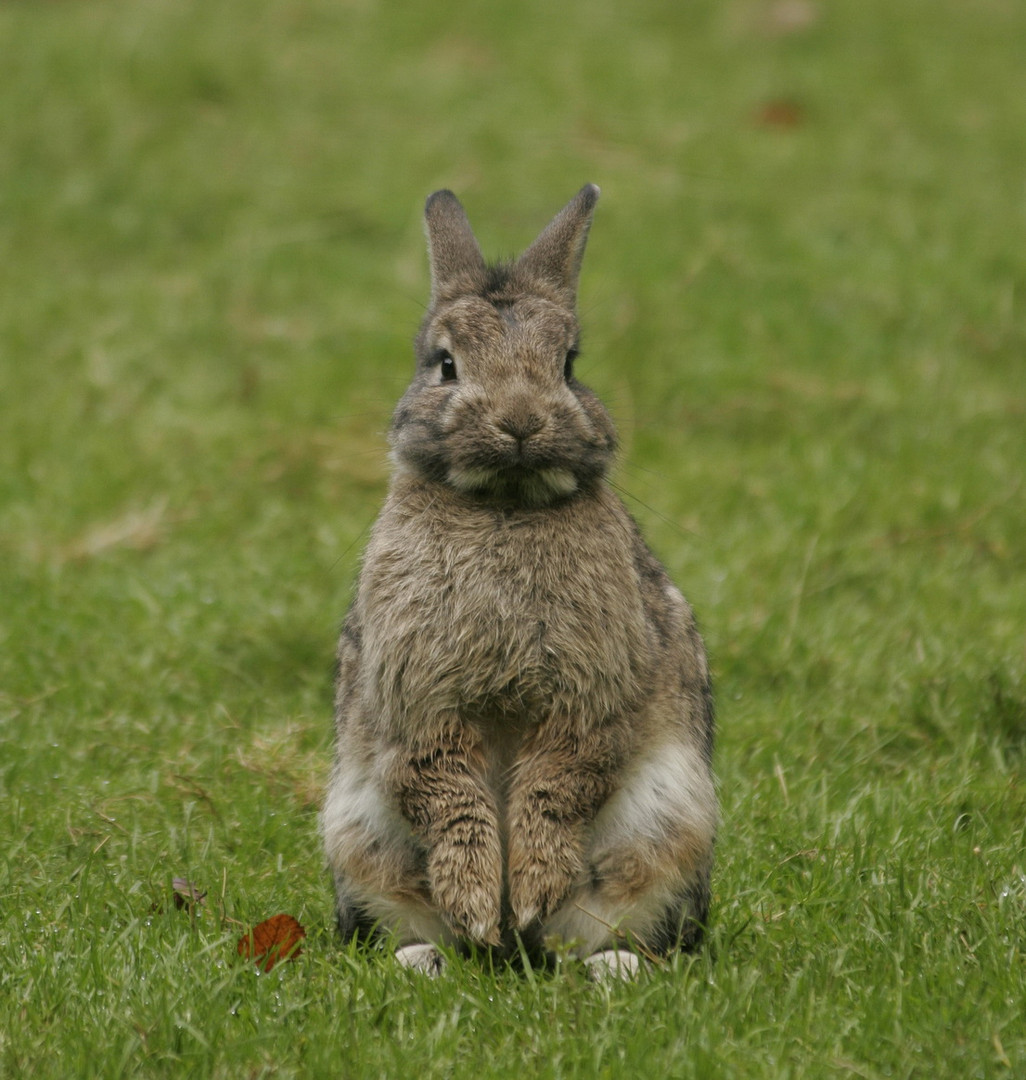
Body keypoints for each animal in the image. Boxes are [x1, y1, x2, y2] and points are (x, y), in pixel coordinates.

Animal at [319, 185, 712, 980]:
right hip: (358, 840)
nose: (521, 421)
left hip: (668, 833)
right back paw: (441, 956)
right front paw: (478, 907)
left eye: (568, 364)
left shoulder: (585, 700)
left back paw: (591, 962)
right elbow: (447, 795)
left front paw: (526, 894)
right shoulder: (422, 704)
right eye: (446, 364)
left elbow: (557, 785)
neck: (503, 505)